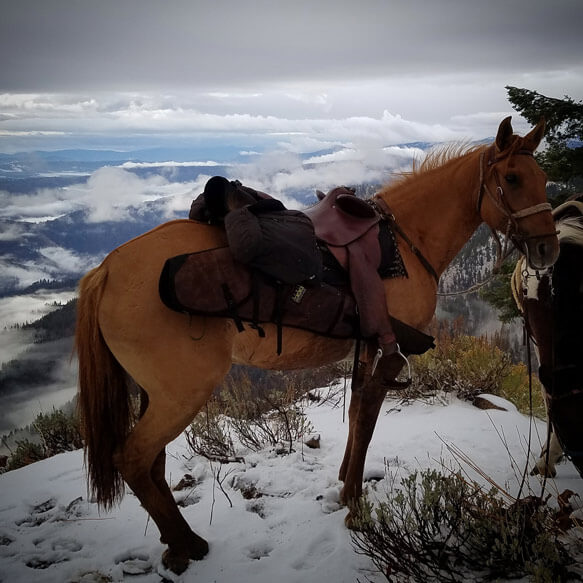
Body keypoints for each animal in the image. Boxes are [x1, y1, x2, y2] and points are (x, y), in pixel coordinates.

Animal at [75, 118, 560, 576]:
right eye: (512, 178)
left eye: (544, 178)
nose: (546, 250)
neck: (407, 242)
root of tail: (106, 270)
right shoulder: (389, 354)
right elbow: (367, 419)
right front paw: (354, 504)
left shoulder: (365, 349)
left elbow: (355, 413)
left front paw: (345, 482)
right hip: (181, 393)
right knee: (133, 458)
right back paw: (187, 544)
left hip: (154, 394)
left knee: (152, 464)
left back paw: (175, 544)